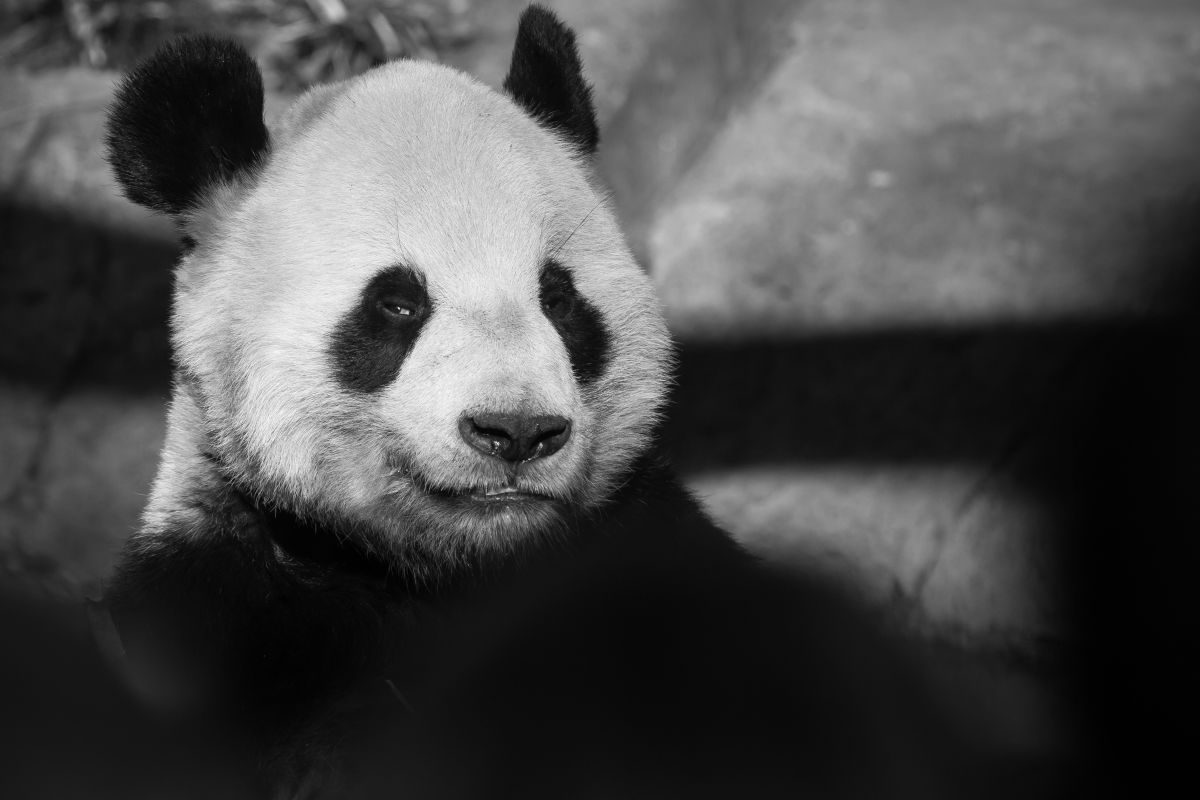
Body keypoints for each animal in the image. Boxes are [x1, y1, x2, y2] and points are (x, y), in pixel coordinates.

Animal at [100, 7, 964, 800]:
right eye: (397, 304)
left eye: (557, 297)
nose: (516, 432)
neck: (458, 572)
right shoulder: (231, 626)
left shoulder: (653, 570)